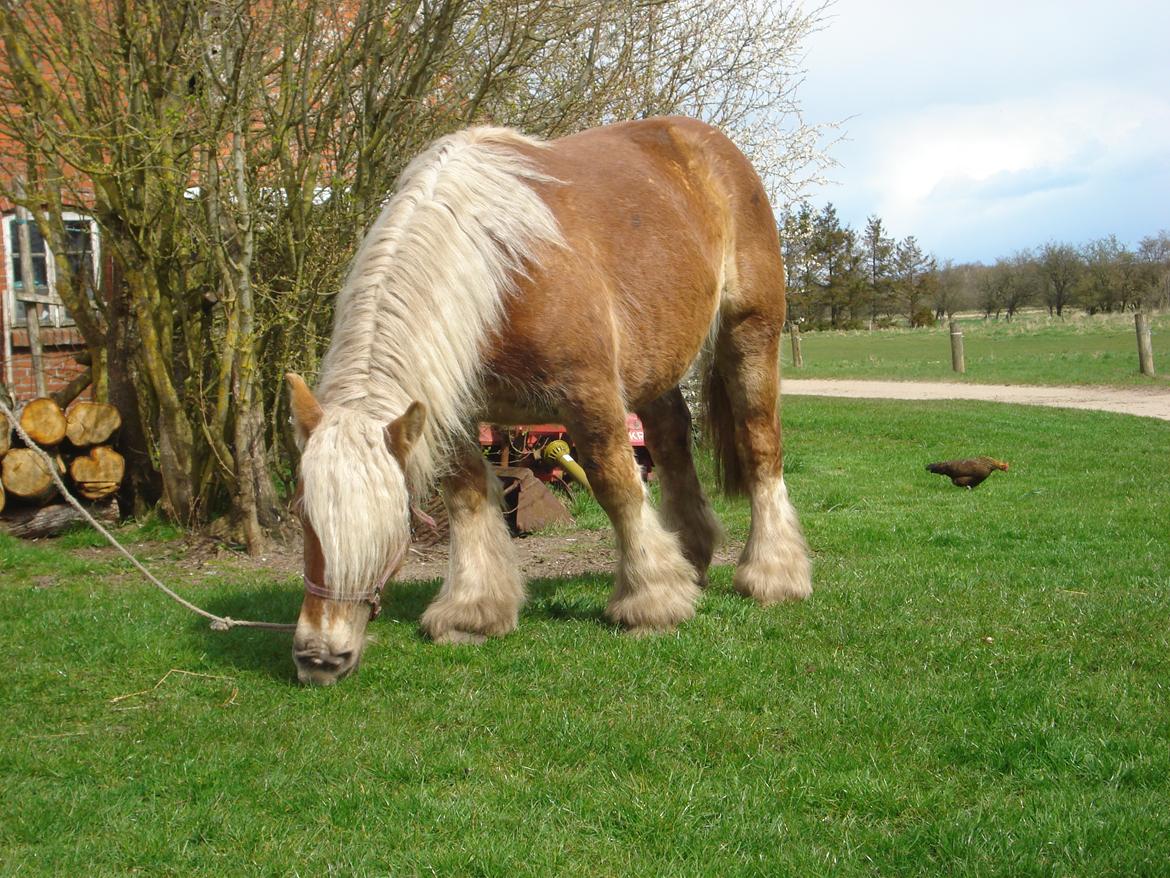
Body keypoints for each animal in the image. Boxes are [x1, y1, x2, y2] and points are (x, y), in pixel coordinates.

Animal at [287, 115, 809, 688]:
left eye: (387, 526)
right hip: (653, 361)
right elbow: (468, 497)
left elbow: (617, 487)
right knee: (671, 438)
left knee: (759, 443)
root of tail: (709, 145)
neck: (499, 273)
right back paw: (691, 555)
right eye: (304, 516)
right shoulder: (456, 416)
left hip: (751, 332)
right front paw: (473, 609)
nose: (319, 656)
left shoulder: (590, 395)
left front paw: (652, 600)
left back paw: (774, 574)